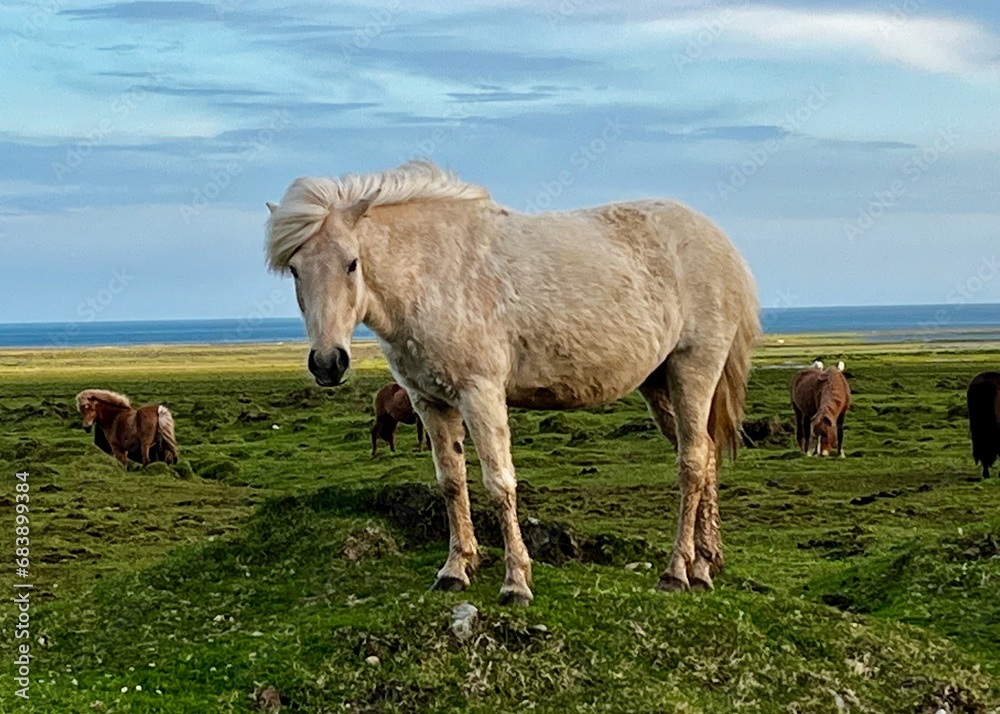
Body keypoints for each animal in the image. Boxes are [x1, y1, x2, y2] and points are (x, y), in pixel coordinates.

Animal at [265, 160, 758, 604]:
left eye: (352, 263)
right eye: (295, 270)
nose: (328, 363)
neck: (434, 274)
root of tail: (718, 241)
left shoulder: (480, 394)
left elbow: (499, 482)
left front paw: (516, 581)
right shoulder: (430, 403)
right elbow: (451, 481)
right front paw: (455, 569)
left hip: (693, 368)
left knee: (691, 462)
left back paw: (676, 572)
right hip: (659, 384)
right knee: (706, 456)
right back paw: (705, 564)